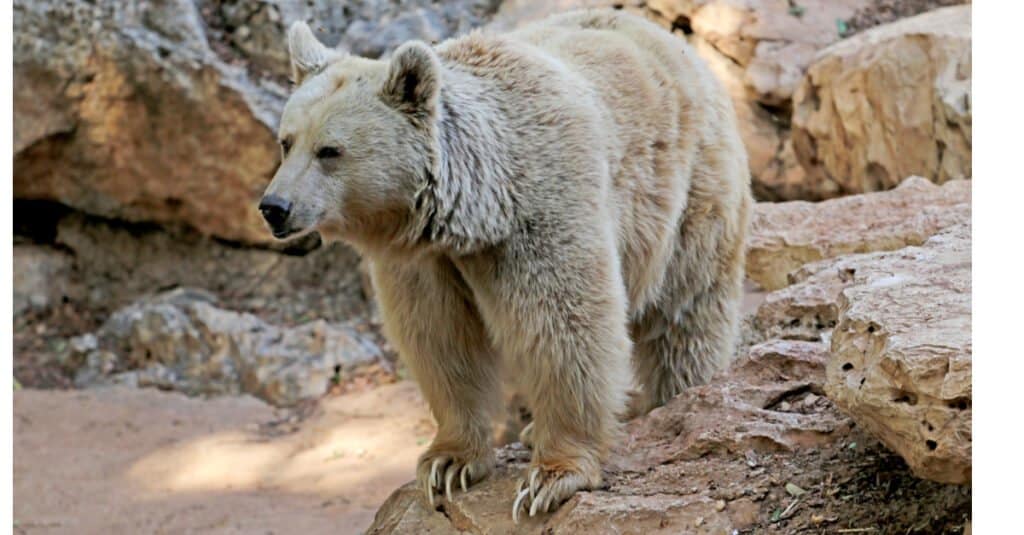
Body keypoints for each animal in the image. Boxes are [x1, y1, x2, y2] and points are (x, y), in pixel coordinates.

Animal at [256, 6, 753, 518]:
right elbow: (438, 338)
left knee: (687, 312)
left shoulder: (541, 213)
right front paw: (447, 462)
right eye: (286, 141)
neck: (477, 207)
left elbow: (566, 327)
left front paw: (551, 477)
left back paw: (677, 395)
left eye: (329, 150)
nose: (275, 207)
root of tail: (672, 41)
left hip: (688, 192)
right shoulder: (424, 259)